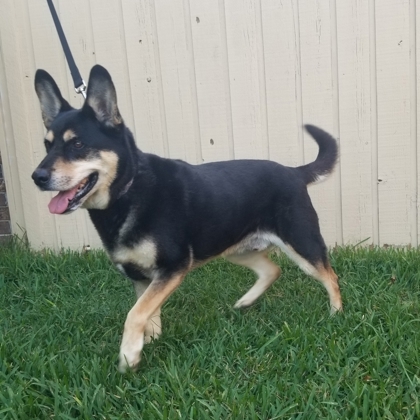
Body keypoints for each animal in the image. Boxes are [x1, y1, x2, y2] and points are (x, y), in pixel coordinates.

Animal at [32, 65, 342, 370]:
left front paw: (128, 356)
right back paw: (246, 301)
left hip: (302, 242)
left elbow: (135, 314)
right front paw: (147, 344)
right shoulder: (142, 278)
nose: (37, 177)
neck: (129, 189)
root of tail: (294, 172)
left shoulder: (173, 266)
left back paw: (336, 314)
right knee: (272, 270)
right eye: (47, 146)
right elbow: (148, 314)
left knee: (331, 277)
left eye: (78, 144)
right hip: (235, 248)